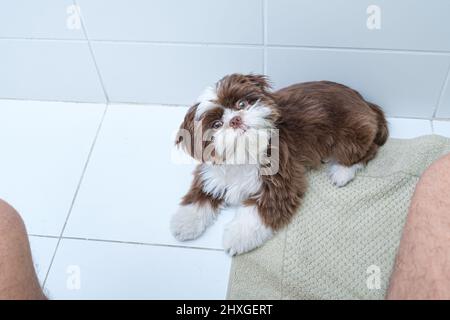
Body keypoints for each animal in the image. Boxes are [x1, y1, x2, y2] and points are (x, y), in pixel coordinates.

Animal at [171, 74, 388, 256]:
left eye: (242, 103)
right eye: (216, 125)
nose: (235, 120)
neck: (246, 153)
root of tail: (365, 102)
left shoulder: (280, 181)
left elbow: (256, 212)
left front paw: (238, 236)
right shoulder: (212, 173)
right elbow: (200, 195)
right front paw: (185, 221)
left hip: (350, 133)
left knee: (368, 149)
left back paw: (342, 171)